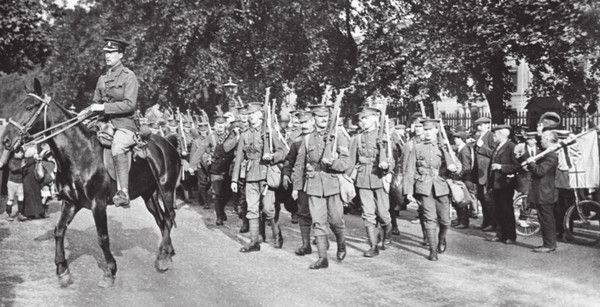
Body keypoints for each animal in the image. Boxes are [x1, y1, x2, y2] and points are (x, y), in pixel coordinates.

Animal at [2, 80, 180, 288]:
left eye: (30, 107)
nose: (6, 140)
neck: (80, 153)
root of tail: (168, 142)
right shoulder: (71, 202)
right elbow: (59, 231)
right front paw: (62, 270)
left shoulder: (98, 204)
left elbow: (102, 238)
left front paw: (110, 271)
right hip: (149, 195)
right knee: (162, 221)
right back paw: (167, 252)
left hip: (166, 190)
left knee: (169, 218)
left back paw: (163, 258)